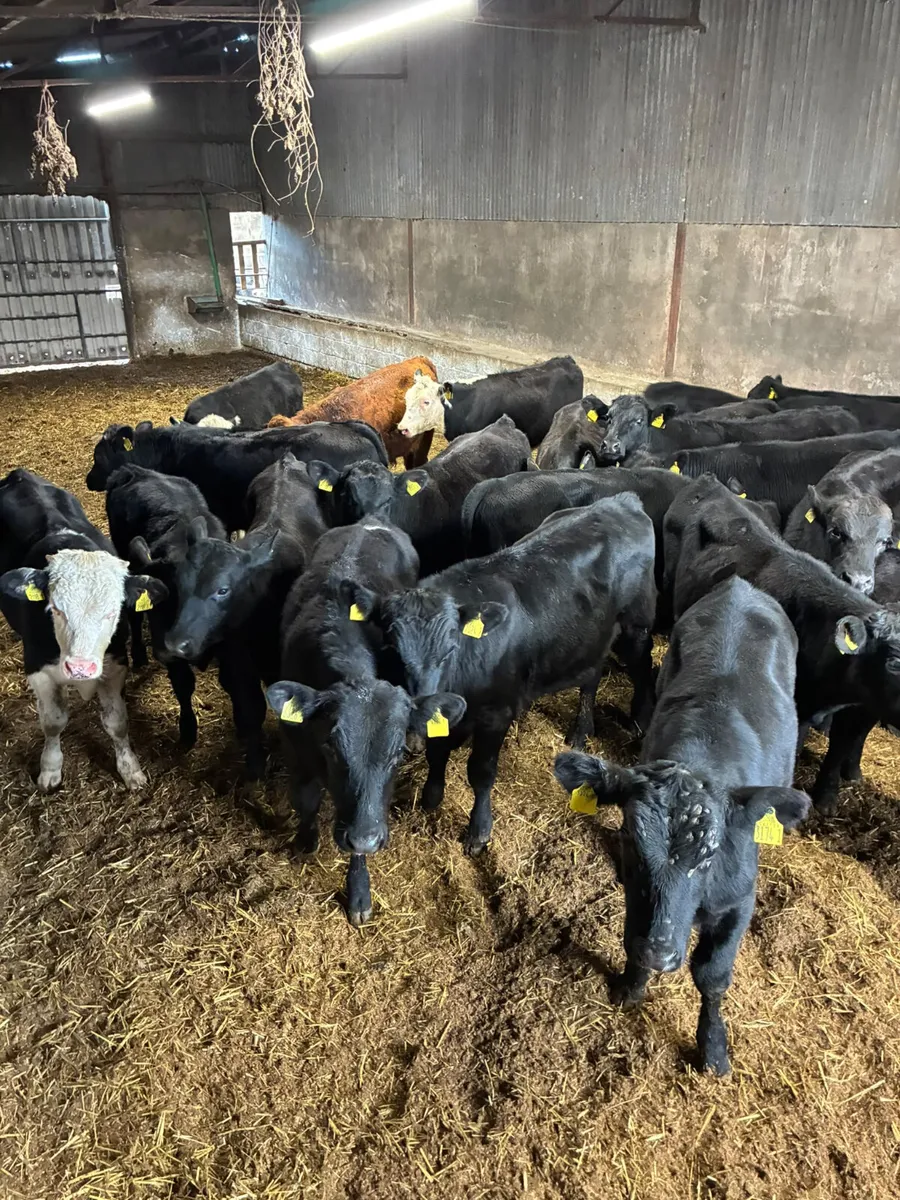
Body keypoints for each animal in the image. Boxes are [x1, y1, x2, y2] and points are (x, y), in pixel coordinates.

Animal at [0, 469, 167, 792]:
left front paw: (130, 770)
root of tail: (20, 474)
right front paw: (50, 770)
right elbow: (53, 721)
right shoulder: (37, 670)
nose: (79, 668)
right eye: (55, 608)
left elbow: (117, 722)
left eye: (114, 611)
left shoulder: (115, 665)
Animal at [266, 517, 458, 926]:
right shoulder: (294, 745)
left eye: (397, 754)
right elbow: (305, 799)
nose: (367, 838)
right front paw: (306, 840)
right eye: (332, 747)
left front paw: (358, 892)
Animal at [350, 496, 657, 854]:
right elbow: (437, 753)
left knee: (644, 668)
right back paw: (581, 731)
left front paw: (478, 832)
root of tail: (622, 501)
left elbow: (481, 773)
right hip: (591, 637)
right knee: (591, 677)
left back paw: (639, 724)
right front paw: (431, 798)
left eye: (451, 647)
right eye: (390, 647)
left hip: (637, 625)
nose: (420, 717)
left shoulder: (496, 714)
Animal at [554, 576, 809, 1076]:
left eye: (710, 854)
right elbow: (631, 936)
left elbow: (712, 976)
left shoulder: (738, 902)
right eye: (631, 841)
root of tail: (740, 587)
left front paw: (712, 1047)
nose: (660, 953)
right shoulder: (638, 896)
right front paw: (631, 987)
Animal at [665, 478, 900, 813]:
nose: (860, 580)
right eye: (894, 662)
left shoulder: (854, 706)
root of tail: (711, 481)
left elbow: (840, 745)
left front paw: (826, 799)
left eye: (884, 542)